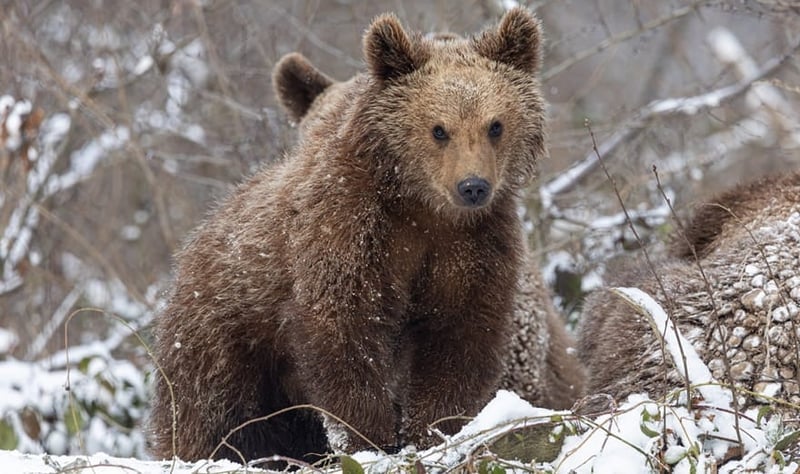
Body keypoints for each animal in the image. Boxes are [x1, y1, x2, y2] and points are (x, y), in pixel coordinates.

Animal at [149, 7, 550, 464]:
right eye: (439, 129)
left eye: (495, 125)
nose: (473, 186)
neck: (421, 206)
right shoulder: (350, 231)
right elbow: (343, 332)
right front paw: (370, 440)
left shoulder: (474, 247)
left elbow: (459, 336)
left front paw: (434, 431)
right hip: (223, 341)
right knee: (211, 415)